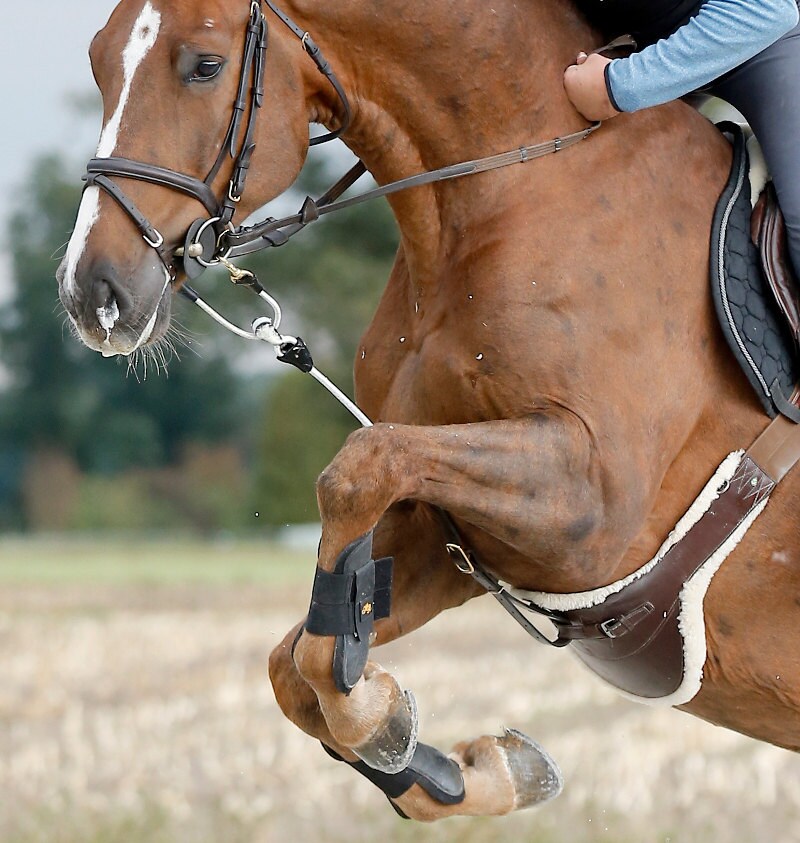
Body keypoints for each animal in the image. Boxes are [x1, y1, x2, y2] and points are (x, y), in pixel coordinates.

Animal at [56, 0, 800, 823]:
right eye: (97, 61)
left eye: (205, 66)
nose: (92, 292)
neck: (511, 191)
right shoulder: (461, 538)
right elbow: (301, 657)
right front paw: (466, 766)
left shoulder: (594, 509)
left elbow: (356, 471)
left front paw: (387, 721)